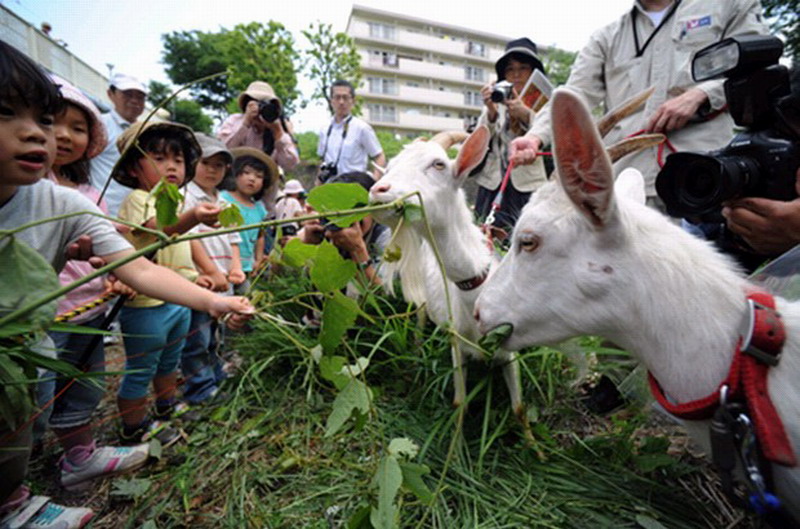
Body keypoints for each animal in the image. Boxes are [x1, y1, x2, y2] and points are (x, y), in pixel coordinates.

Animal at [368, 127, 524, 416]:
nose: (377, 190)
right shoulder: (457, 343)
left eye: (438, 164)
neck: (474, 286)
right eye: (390, 167)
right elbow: (459, 402)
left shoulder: (509, 350)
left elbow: (518, 407)